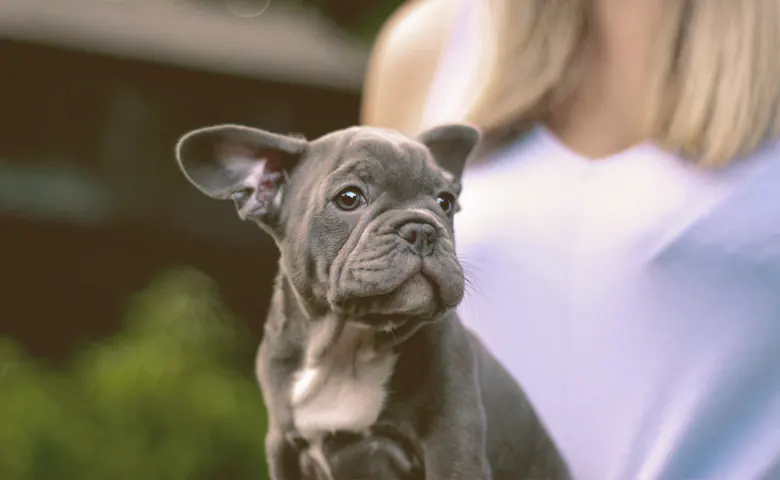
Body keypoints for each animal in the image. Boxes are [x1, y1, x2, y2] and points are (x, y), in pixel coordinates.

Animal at [175, 124, 568, 480]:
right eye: (349, 198)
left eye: (446, 202)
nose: (422, 228)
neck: (347, 345)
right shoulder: (283, 448)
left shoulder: (453, 444)